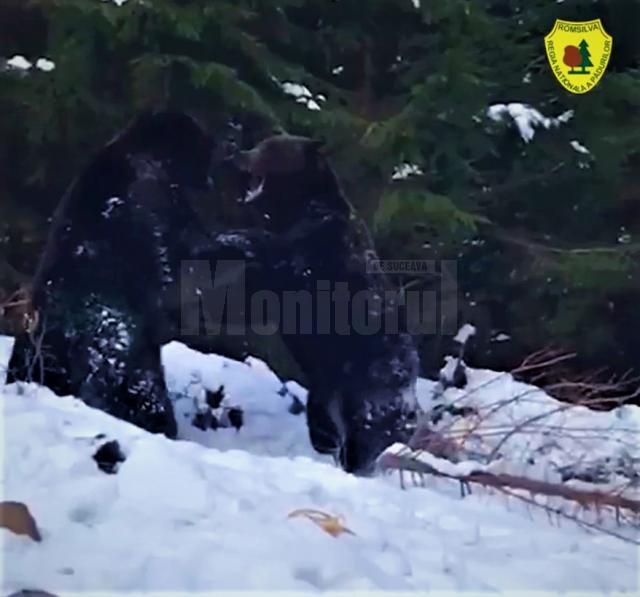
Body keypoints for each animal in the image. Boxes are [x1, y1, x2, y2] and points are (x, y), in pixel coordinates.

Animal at [234, 133, 420, 472]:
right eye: (263, 142)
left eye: (271, 147)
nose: (239, 153)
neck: (300, 206)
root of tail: (412, 407)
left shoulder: (313, 249)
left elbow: (273, 258)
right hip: (329, 388)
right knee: (325, 425)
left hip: (366, 391)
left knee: (362, 439)